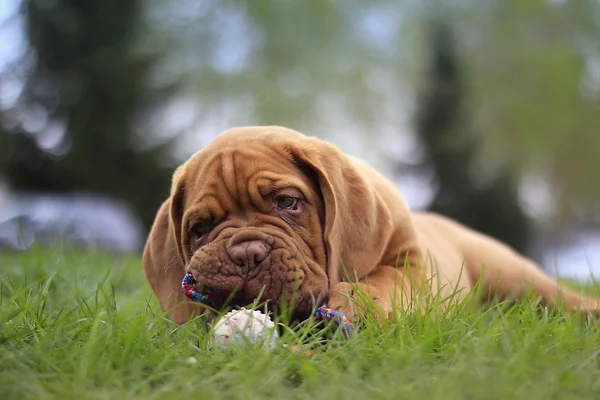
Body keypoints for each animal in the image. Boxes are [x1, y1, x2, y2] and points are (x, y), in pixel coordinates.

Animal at [142, 126, 600, 324]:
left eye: (288, 202)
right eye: (199, 228)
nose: (244, 253)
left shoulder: (415, 268)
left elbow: (383, 281)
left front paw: (354, 303)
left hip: (513, 275)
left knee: (561, 297)